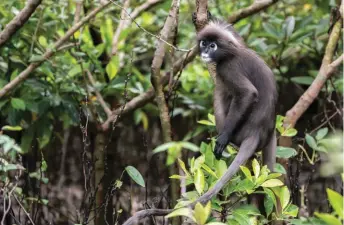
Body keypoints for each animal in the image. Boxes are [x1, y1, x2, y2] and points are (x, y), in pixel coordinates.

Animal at [196, 20, 276, 173]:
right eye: (204, 43)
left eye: (213, 46)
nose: (206, 52)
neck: (230, 53)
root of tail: (255, 133)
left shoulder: (228, 68)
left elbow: (248, 93)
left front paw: (223, 138)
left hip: (237, 133)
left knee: (220, 93)